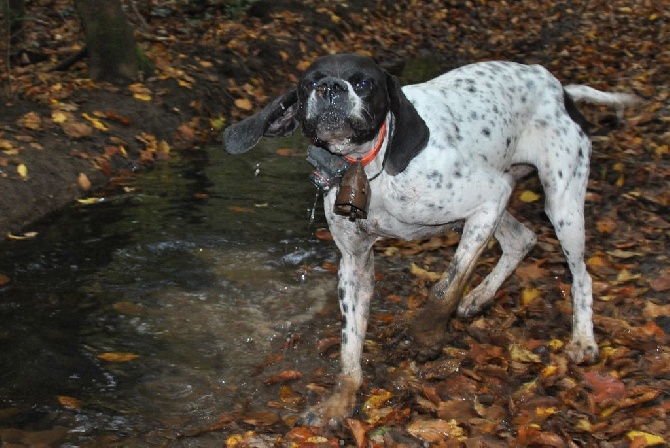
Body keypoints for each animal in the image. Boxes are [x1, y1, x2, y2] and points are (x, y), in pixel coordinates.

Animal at [224, 54, 640, 426]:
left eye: (364, 82)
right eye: (309, 82)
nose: (330, 88)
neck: (368, 167)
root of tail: (557, 86)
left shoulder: (488, 197)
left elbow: (445, 287)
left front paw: (425, 336)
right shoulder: (354, 264)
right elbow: (349, 346)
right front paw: (339, 402)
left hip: (560, 205)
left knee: (581, 275)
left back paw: (582, 340)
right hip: (502, 203)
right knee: (522, 240)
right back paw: (480, 297)